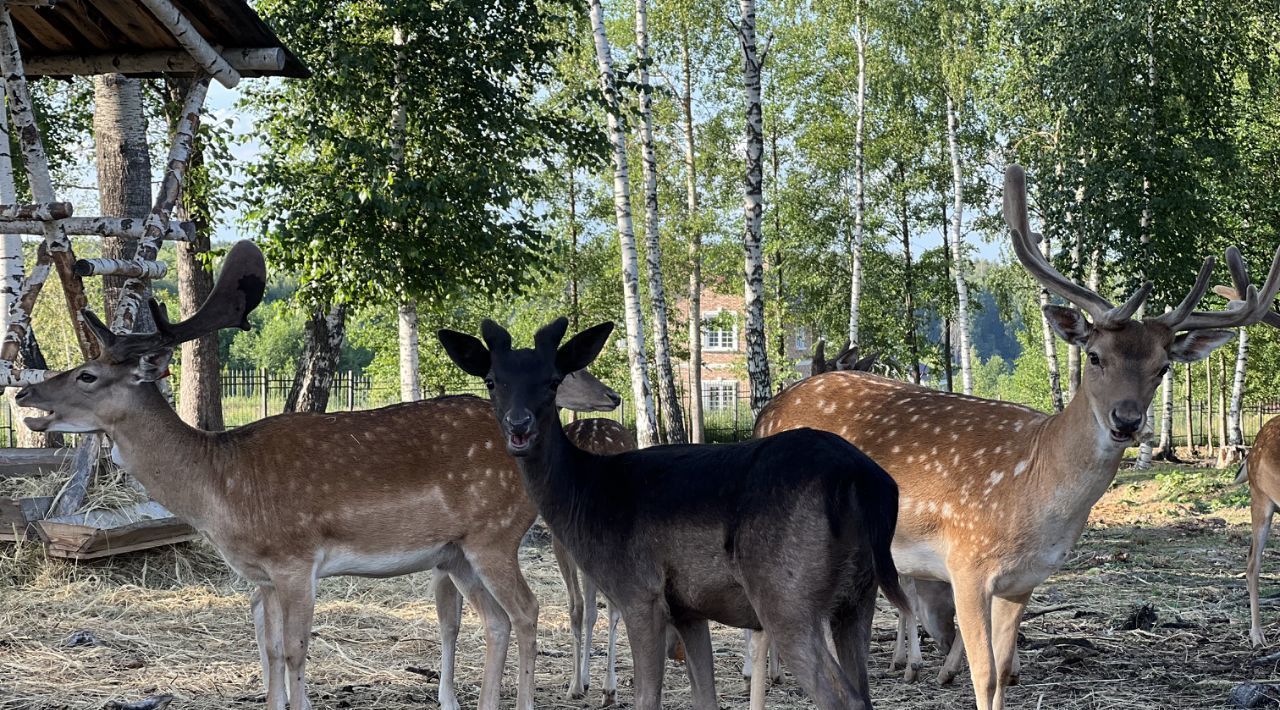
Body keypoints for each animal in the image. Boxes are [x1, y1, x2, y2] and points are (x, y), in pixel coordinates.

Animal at [12, 241, 622, 710]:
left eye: (87, 376)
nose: (24, 394)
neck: (219, 489)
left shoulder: (295, 558)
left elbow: (294, 651)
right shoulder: (259, 576)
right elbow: (264, 652)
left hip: (495, 534)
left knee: (528, 610)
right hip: (456, 552)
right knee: (495, 621)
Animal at [440, 321, 911, 710]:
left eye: (553, 380)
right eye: (492, 380)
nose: (519, 426)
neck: (587, 497)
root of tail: (865, 483)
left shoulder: (639, 592)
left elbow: (647, 698)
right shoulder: (689, 609)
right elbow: (706, 698)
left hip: (787, 597)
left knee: (844, 697)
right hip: (857, 598)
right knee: (864, 692)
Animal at [747, 163, 1280, 706]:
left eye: (1162, 366)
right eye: (1095, 356)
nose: (1127, 420)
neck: (1033, 492)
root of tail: (769, 409)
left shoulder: (1023, 580)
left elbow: (1003, 670)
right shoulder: (965, 561)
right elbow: (982, 673)